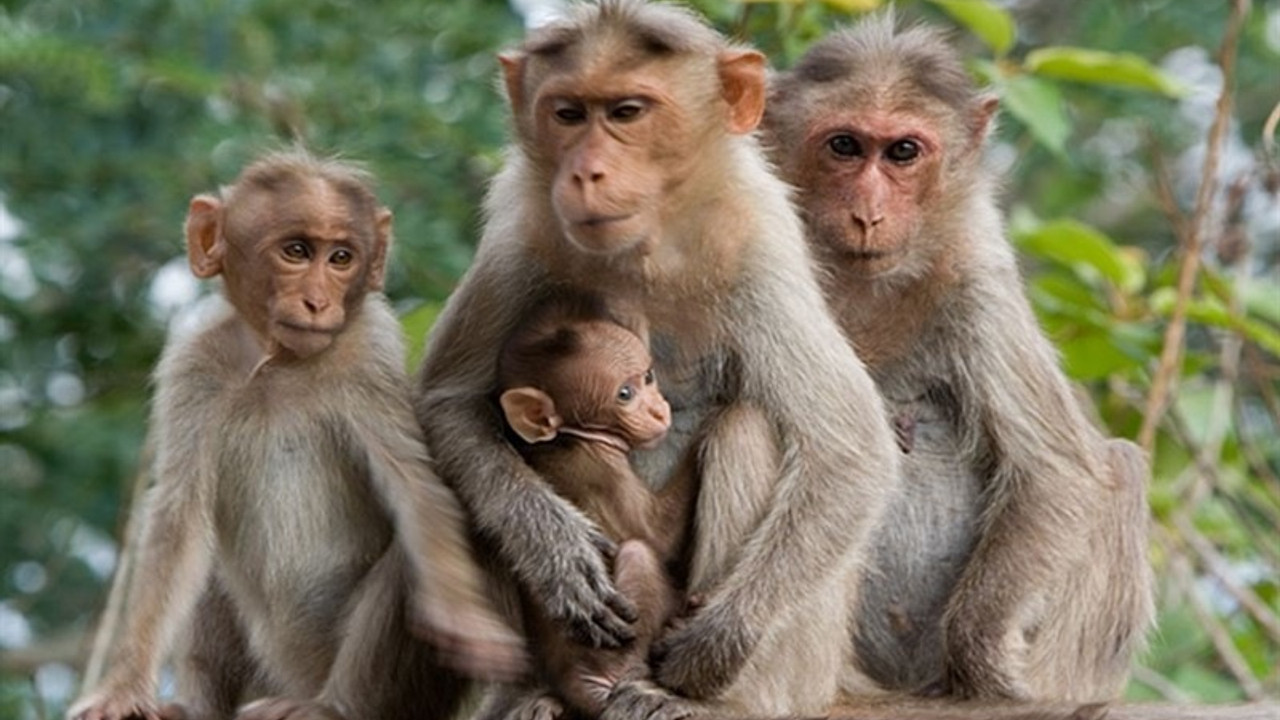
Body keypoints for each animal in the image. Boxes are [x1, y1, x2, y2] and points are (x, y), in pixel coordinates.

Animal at [67, 148, 519, 717]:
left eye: (341, 258)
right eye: (297, 251)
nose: (318, 302)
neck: (279, 364)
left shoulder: (368, 353)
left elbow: (415, 488)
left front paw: (465, 618)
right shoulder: (194, 366)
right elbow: (179, 518)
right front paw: (125, 687)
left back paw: (334, 706)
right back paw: (199, 704)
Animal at [414, 1, 896, 717]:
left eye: (627, 113)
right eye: (568, 113)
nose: (586, 171)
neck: (649, 241)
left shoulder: (757, 248)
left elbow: (849, 449)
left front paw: (716, 642)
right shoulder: (521, 233)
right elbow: (449, 404)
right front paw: (553, 551)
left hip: (802, 666)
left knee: (748, 426)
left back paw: (699, 699)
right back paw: (535, 693)